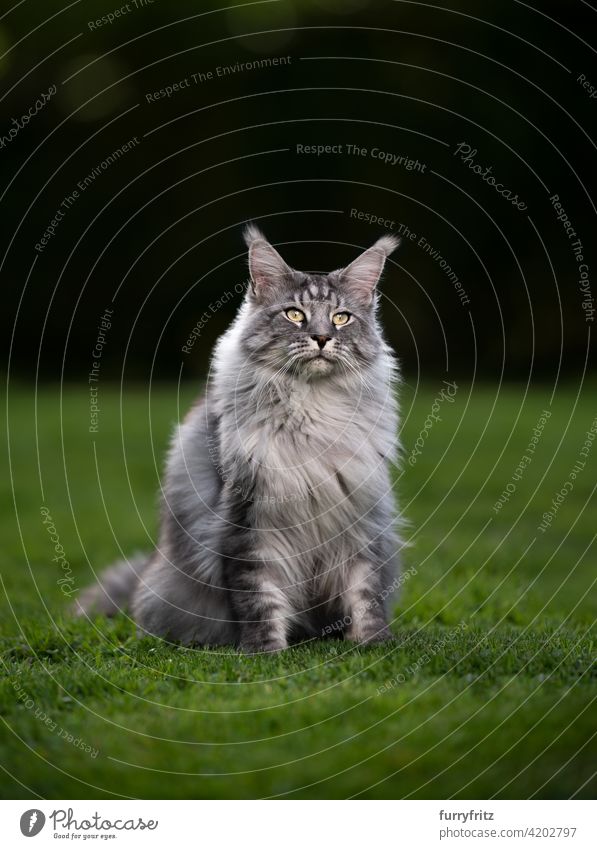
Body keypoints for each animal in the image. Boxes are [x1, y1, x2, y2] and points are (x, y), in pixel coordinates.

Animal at [73, 225, 400, 648]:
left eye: (341, 318)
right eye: (295, 314)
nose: (322, 338)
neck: (312, 409)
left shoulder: (360, 519)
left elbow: (366, 594)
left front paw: (373, 645)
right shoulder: (248, 522)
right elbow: (260, 600)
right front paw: (267, 653)